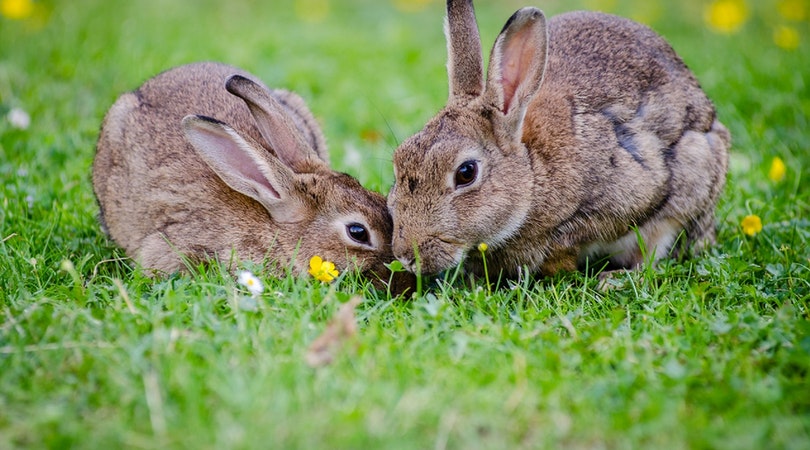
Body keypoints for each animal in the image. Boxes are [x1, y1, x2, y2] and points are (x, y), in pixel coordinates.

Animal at [388, 1, 728, 278]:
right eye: (399, 160)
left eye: (466, 173)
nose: (405, 255)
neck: (532, 174)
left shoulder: (630, 192)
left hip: (694, 172)